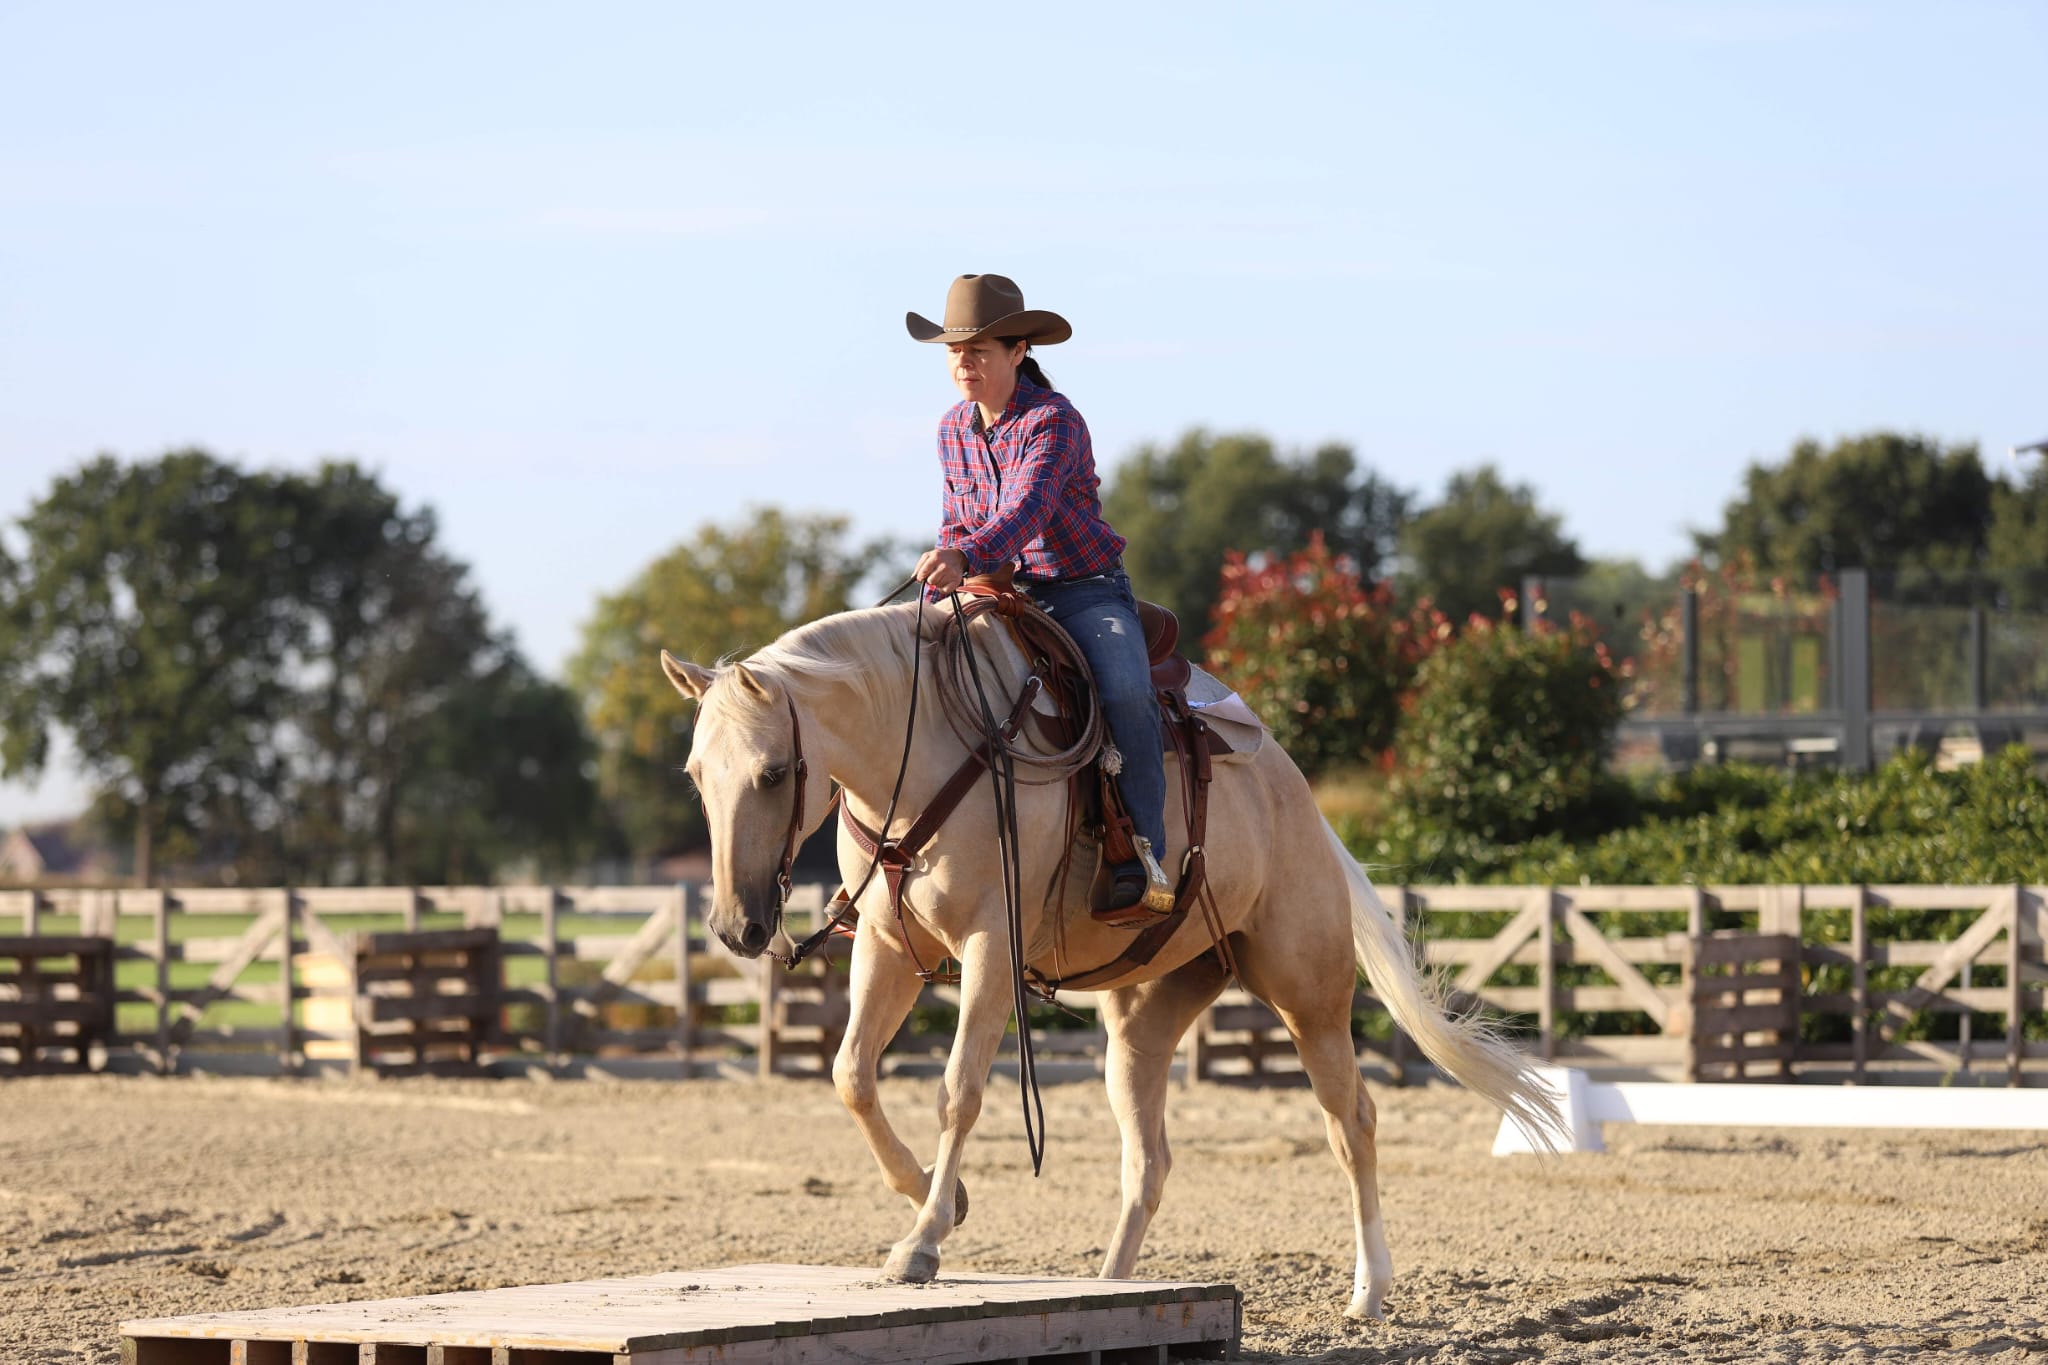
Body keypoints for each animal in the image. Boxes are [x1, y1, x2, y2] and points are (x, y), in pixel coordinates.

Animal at [659, 601, 1548, 1326]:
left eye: (774, 772)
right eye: (697, 775)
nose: (737, 926)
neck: (923, 762)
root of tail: (1299, 799)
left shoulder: (991, 945)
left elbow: (959, 1089)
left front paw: (923, 1240)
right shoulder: (885, 946)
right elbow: (851, 1074)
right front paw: (941, 1198)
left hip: (1310, 997)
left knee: (1350, 1121)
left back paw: (1368, 1289)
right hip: (1143, 1021)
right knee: (1148, 1161)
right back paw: (1116, 1284)